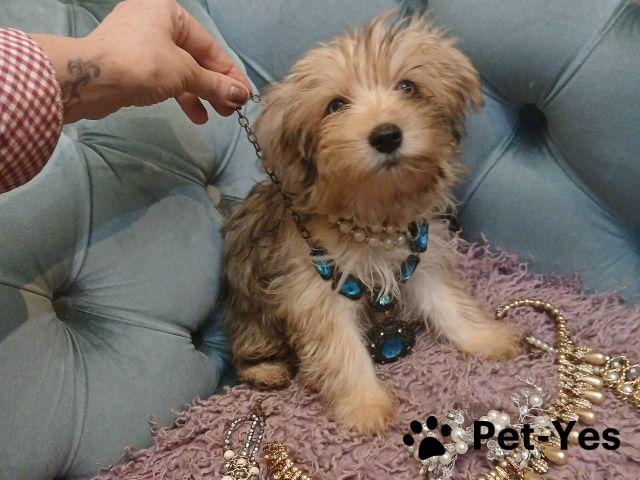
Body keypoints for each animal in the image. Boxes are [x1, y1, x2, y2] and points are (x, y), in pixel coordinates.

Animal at [222, 11, 521, 435]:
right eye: (335, 105)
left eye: (408, 87)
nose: (386, 135)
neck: (374, 215)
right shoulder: (317, 291)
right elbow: (343, 349)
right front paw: (364, 405)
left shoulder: (421, 263)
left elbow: (448, 304)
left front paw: (484, 338)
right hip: (251, 311)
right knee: (249, 349)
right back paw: (268, 370)